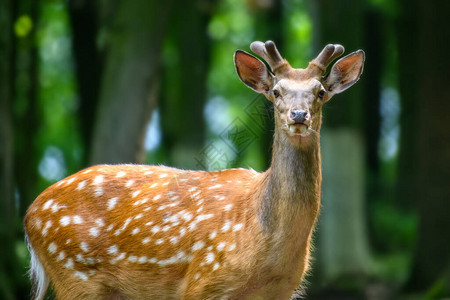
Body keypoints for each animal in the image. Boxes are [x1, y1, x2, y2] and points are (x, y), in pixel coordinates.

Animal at [24, 40, 364, 300]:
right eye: (276, 91)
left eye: (320, 92)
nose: (298, 115)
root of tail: (30, 216)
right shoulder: (203, 280)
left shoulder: (281, 291)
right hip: (75, 273)